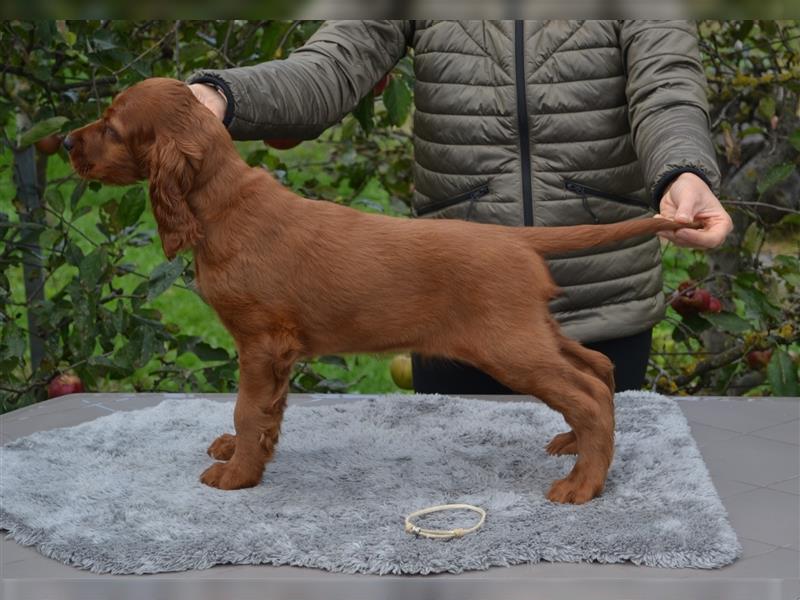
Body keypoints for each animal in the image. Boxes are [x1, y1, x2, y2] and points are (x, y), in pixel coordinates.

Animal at [67, 77, 692, 504]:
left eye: (112, 129)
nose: (67, 140)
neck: (222, 204)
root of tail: (513, 239)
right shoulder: (277, 354)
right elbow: (267, 412)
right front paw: (249, 454)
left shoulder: (261, 342)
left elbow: (248, 409)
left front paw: (237, 474)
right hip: (528, 332)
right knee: (597, 368)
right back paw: (574, 447)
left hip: (508, 345)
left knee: (586, 392)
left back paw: (582, 482)